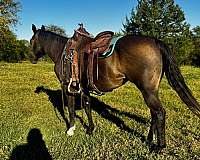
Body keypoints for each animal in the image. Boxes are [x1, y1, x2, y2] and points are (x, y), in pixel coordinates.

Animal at [30, 23, 200, 151]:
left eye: (32, 40)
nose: (32, 59)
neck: (62, 52)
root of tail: (155, 42)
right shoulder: (82, 88)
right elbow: (87, 106)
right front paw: (89, 129)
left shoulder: (68, 86)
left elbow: (72, 109)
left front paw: (72, 129)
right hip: (151, 91)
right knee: (154, 113)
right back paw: (148, 140)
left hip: (147, 91)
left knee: (159, 113)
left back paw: (159, 146)